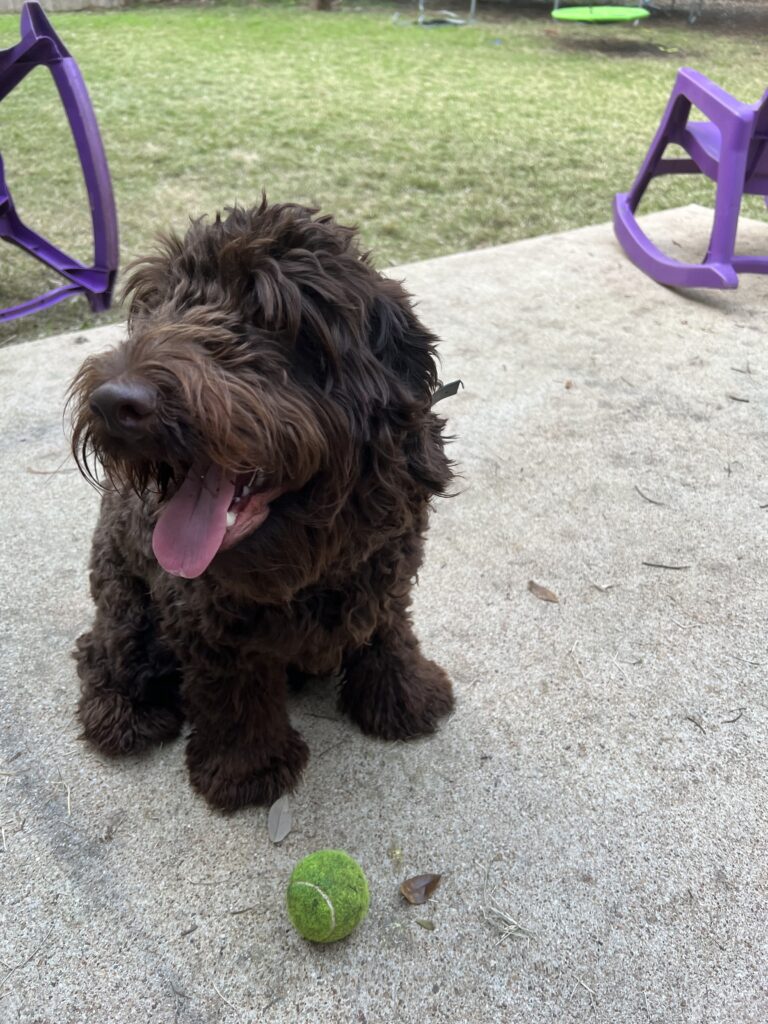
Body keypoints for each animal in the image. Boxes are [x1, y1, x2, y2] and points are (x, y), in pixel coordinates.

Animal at [67, 197, 456, 806]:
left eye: (269, 316)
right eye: (152, 307)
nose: (113, 402)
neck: (311, 567)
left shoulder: (386, 573)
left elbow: (387, 630)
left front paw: (404, 696)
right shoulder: (209, 625)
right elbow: (236, 693)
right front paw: (247, 770)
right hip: (124, 602)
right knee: (102, 649)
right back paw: (122, 712)